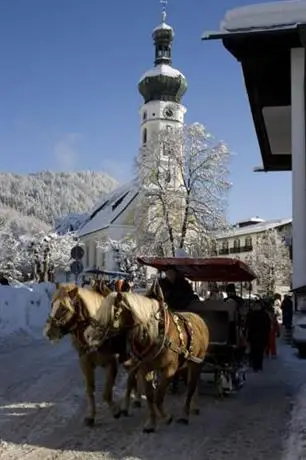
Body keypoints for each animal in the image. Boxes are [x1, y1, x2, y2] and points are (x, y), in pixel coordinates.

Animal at [42, 284, 139, 428]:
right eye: (52, 304)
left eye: (64, 308)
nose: (48, 333)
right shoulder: (85, 363)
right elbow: (89, 389)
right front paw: (91, 416)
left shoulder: (111, 363)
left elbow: (106, 393)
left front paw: (115, 411)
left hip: (128, 357)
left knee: (133, 375)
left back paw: (132, 402)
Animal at [83, 280, 209, 432]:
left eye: (111, 313)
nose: (87, 335)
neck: (155, 334)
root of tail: (199, 318)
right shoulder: (145, 368)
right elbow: (150, 397)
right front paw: (152, 423)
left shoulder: (169, 369)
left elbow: (158, 397)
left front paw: (166, 417)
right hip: (184, 364)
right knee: (189, 384)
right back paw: (192, 407)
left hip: (196, 363)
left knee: (191, 387)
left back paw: (185, 414)